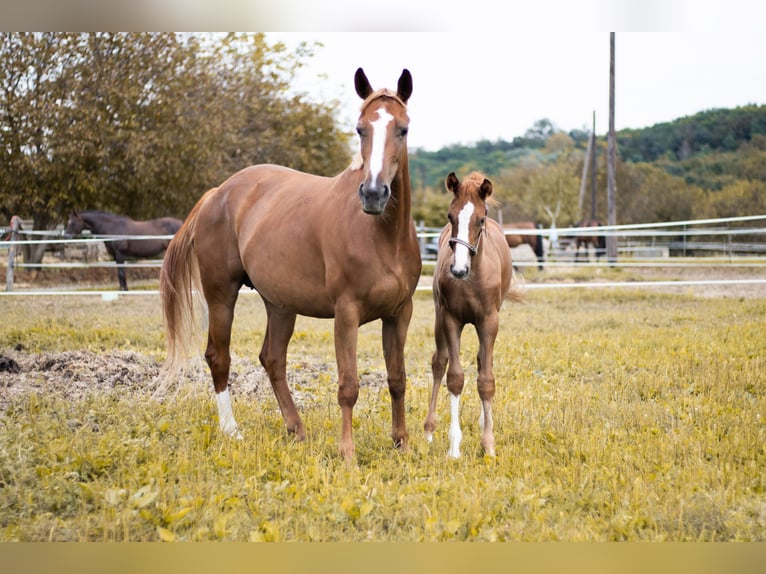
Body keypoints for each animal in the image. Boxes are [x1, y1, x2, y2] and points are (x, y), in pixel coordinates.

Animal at [160, 68, 424, 464]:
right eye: (360, 128)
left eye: (403, 129)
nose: (374, 194)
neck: (381, 236)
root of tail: (218, 193)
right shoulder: (347, 313)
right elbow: (348, 385)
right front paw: (348, 453)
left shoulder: (399, 313)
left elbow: (397, 378)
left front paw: (402, 444)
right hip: (221, 294)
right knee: (218, 357)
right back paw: (232, 430)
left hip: (280, 304)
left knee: (272, 359)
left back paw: (296, 429)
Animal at [424, 171, 524, 460]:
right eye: (450, 216)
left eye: (480, 219)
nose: (458, 269)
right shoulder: (450, 320)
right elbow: (455, 378)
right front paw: (454, 447)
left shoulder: (489, 321)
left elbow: (486, 380)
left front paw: (488, 444)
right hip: (439, 318)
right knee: (439, 362)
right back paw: (429, 430)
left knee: (481, 361)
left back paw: (483, 422)